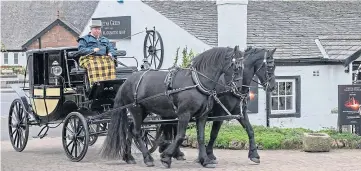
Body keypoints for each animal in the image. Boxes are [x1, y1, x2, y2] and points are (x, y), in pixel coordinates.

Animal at [100, 46, 243, 168]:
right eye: (236, 66)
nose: (238, 88)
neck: (196, 82)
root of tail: (127, 81)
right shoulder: (184, 114)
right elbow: (180, 136)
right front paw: (166, 157)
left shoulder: (202, 116)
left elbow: (201, 138)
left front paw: (205, 160)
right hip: (136, 110)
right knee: (136, 132)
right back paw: (147, 158)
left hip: (143, 111)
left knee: (130, 130)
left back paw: (128, 156)